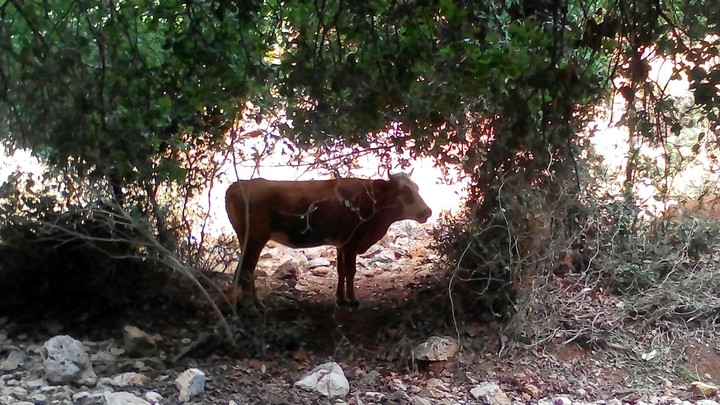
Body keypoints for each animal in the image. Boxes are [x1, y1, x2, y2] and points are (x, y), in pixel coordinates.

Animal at [225, 173, 432, 311]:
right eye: (405, 192)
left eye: (417, 188)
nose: (427, 211)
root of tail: (236, 185)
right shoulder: (352, 242)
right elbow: (350, 271)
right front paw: (352, 300)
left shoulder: (341, 244)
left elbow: (341, 270)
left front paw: (341, 298)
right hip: (255, 238)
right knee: (246, 270)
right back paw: (250, 306)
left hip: (248, 239)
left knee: (245, 269)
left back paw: (250, 304)